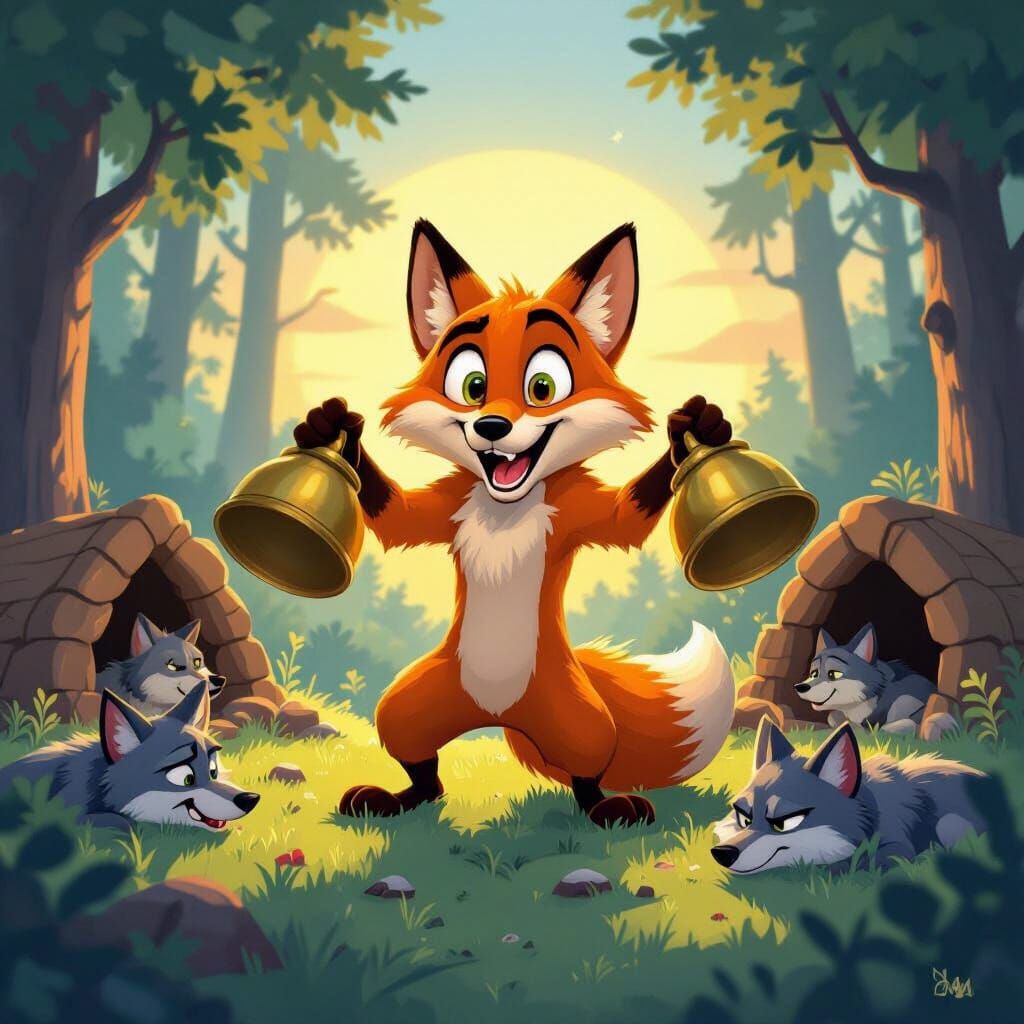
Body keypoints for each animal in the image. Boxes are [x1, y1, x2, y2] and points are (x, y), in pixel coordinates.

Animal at [292, 220, 737, 828]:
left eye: (542, 386)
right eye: (472, 386)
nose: (492, 425)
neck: (506, 507)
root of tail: (499, 716)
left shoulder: (575, 511)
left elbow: (624, 519)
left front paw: (695, 430)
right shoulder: (448, 506)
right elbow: (401, 518)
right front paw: (332, 428)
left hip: (575, 718)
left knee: (588, 767)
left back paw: (607, 806)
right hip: (420, 700)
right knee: (420, 760)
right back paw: (401, 797)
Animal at [711, 716, 986, 874]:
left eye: (785, 823)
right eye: (744, 818)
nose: (722, 853)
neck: (873, 809)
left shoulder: (897, 844)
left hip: (949, 824)